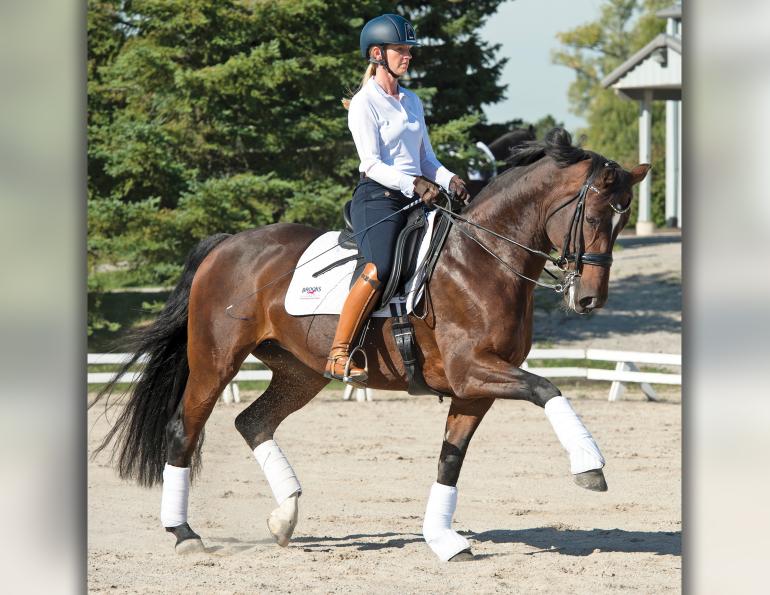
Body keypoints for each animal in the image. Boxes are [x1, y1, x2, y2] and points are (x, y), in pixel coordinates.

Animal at [91, 128, 649, 562]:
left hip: (300, 370)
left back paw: (284, 518)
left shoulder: (474, 388)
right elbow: (548, 389)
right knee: (185, 430)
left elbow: (450, 460)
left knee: (252, 421)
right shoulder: (473, 369)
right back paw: (184, 534)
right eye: (595, 219)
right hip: (215, 361)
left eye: (623, 222)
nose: (589, 299)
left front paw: (443, 540)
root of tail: (226, 244)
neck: (484, 257)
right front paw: (589, 467)